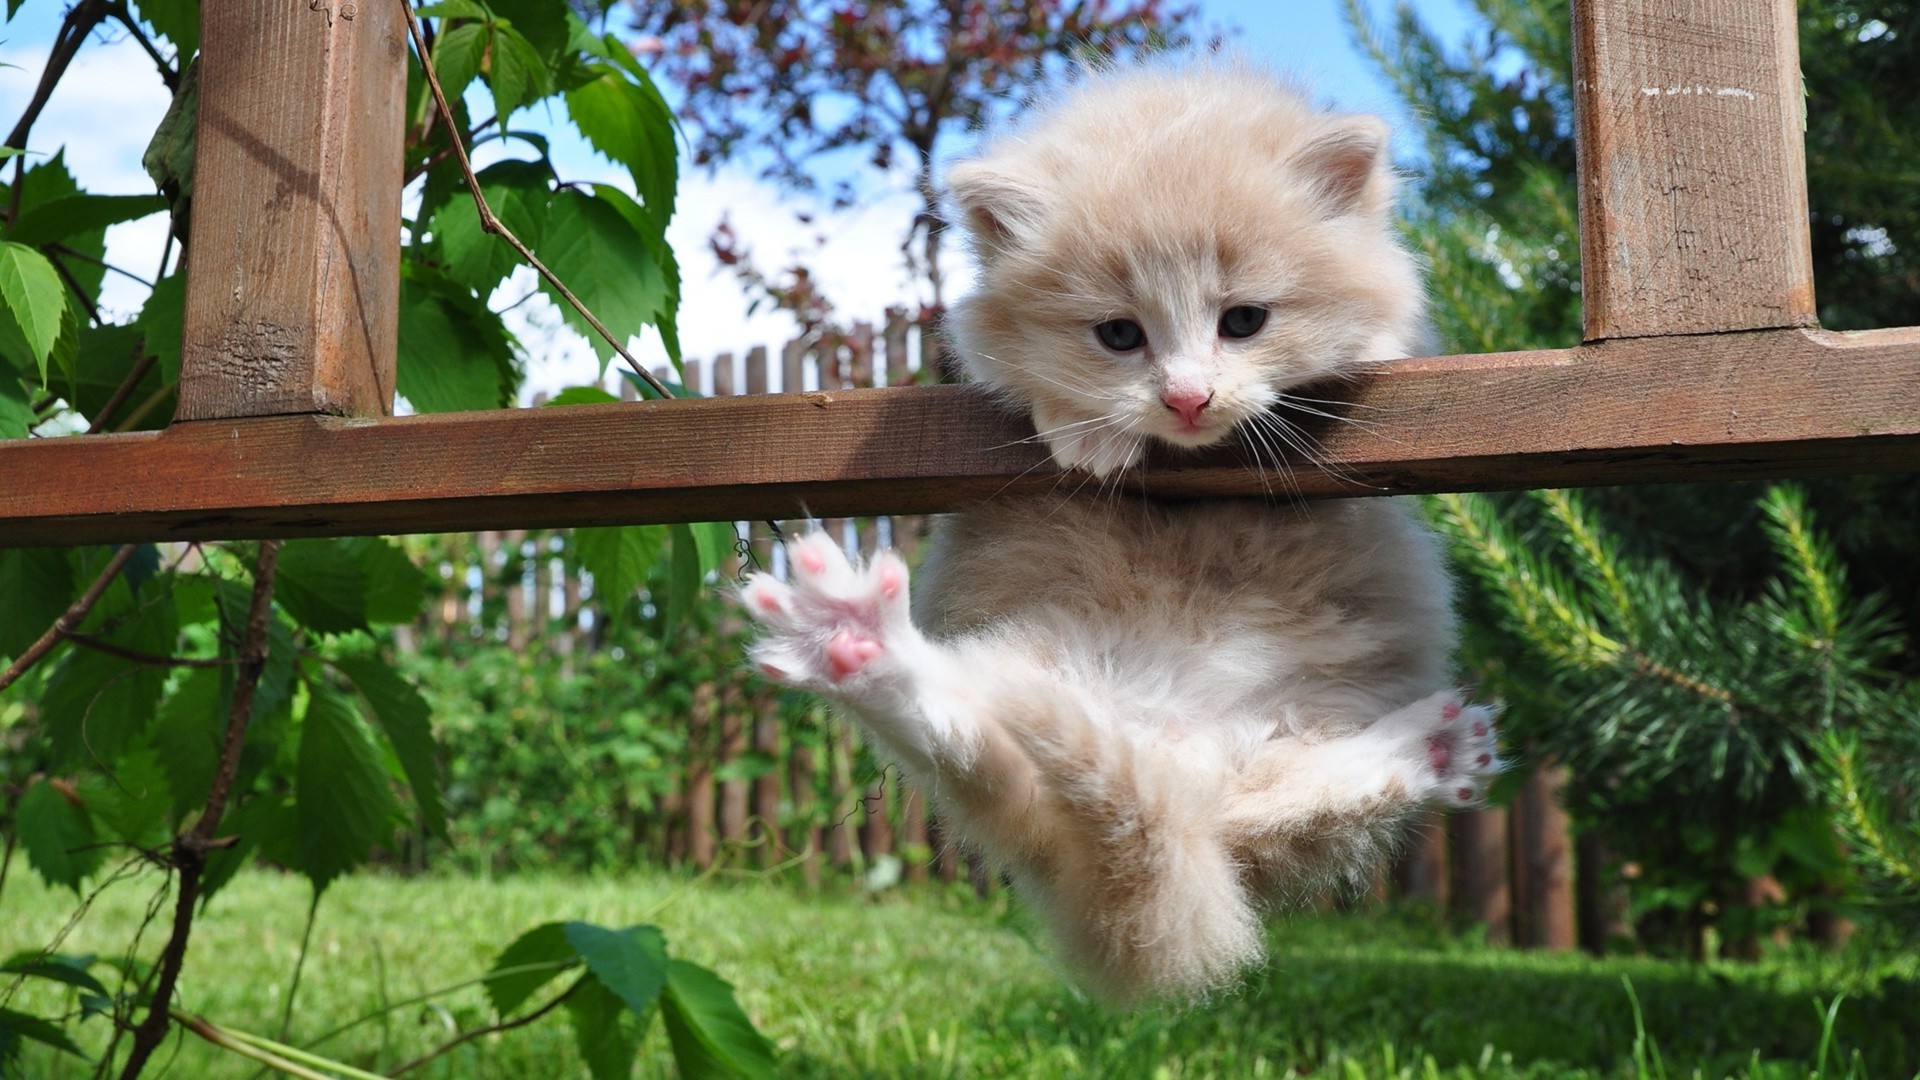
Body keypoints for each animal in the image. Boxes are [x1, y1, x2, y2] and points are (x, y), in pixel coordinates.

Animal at [733, 62, 1497, 999]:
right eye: (1120, 334)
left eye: (1244, 321)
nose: (1187, 399)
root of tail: (1166, 749)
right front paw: (1085, 430)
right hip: (1030, 693)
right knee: (969, 736)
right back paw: (856, 644)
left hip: (1281, 735)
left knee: (1257, 811)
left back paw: (1428, 750)